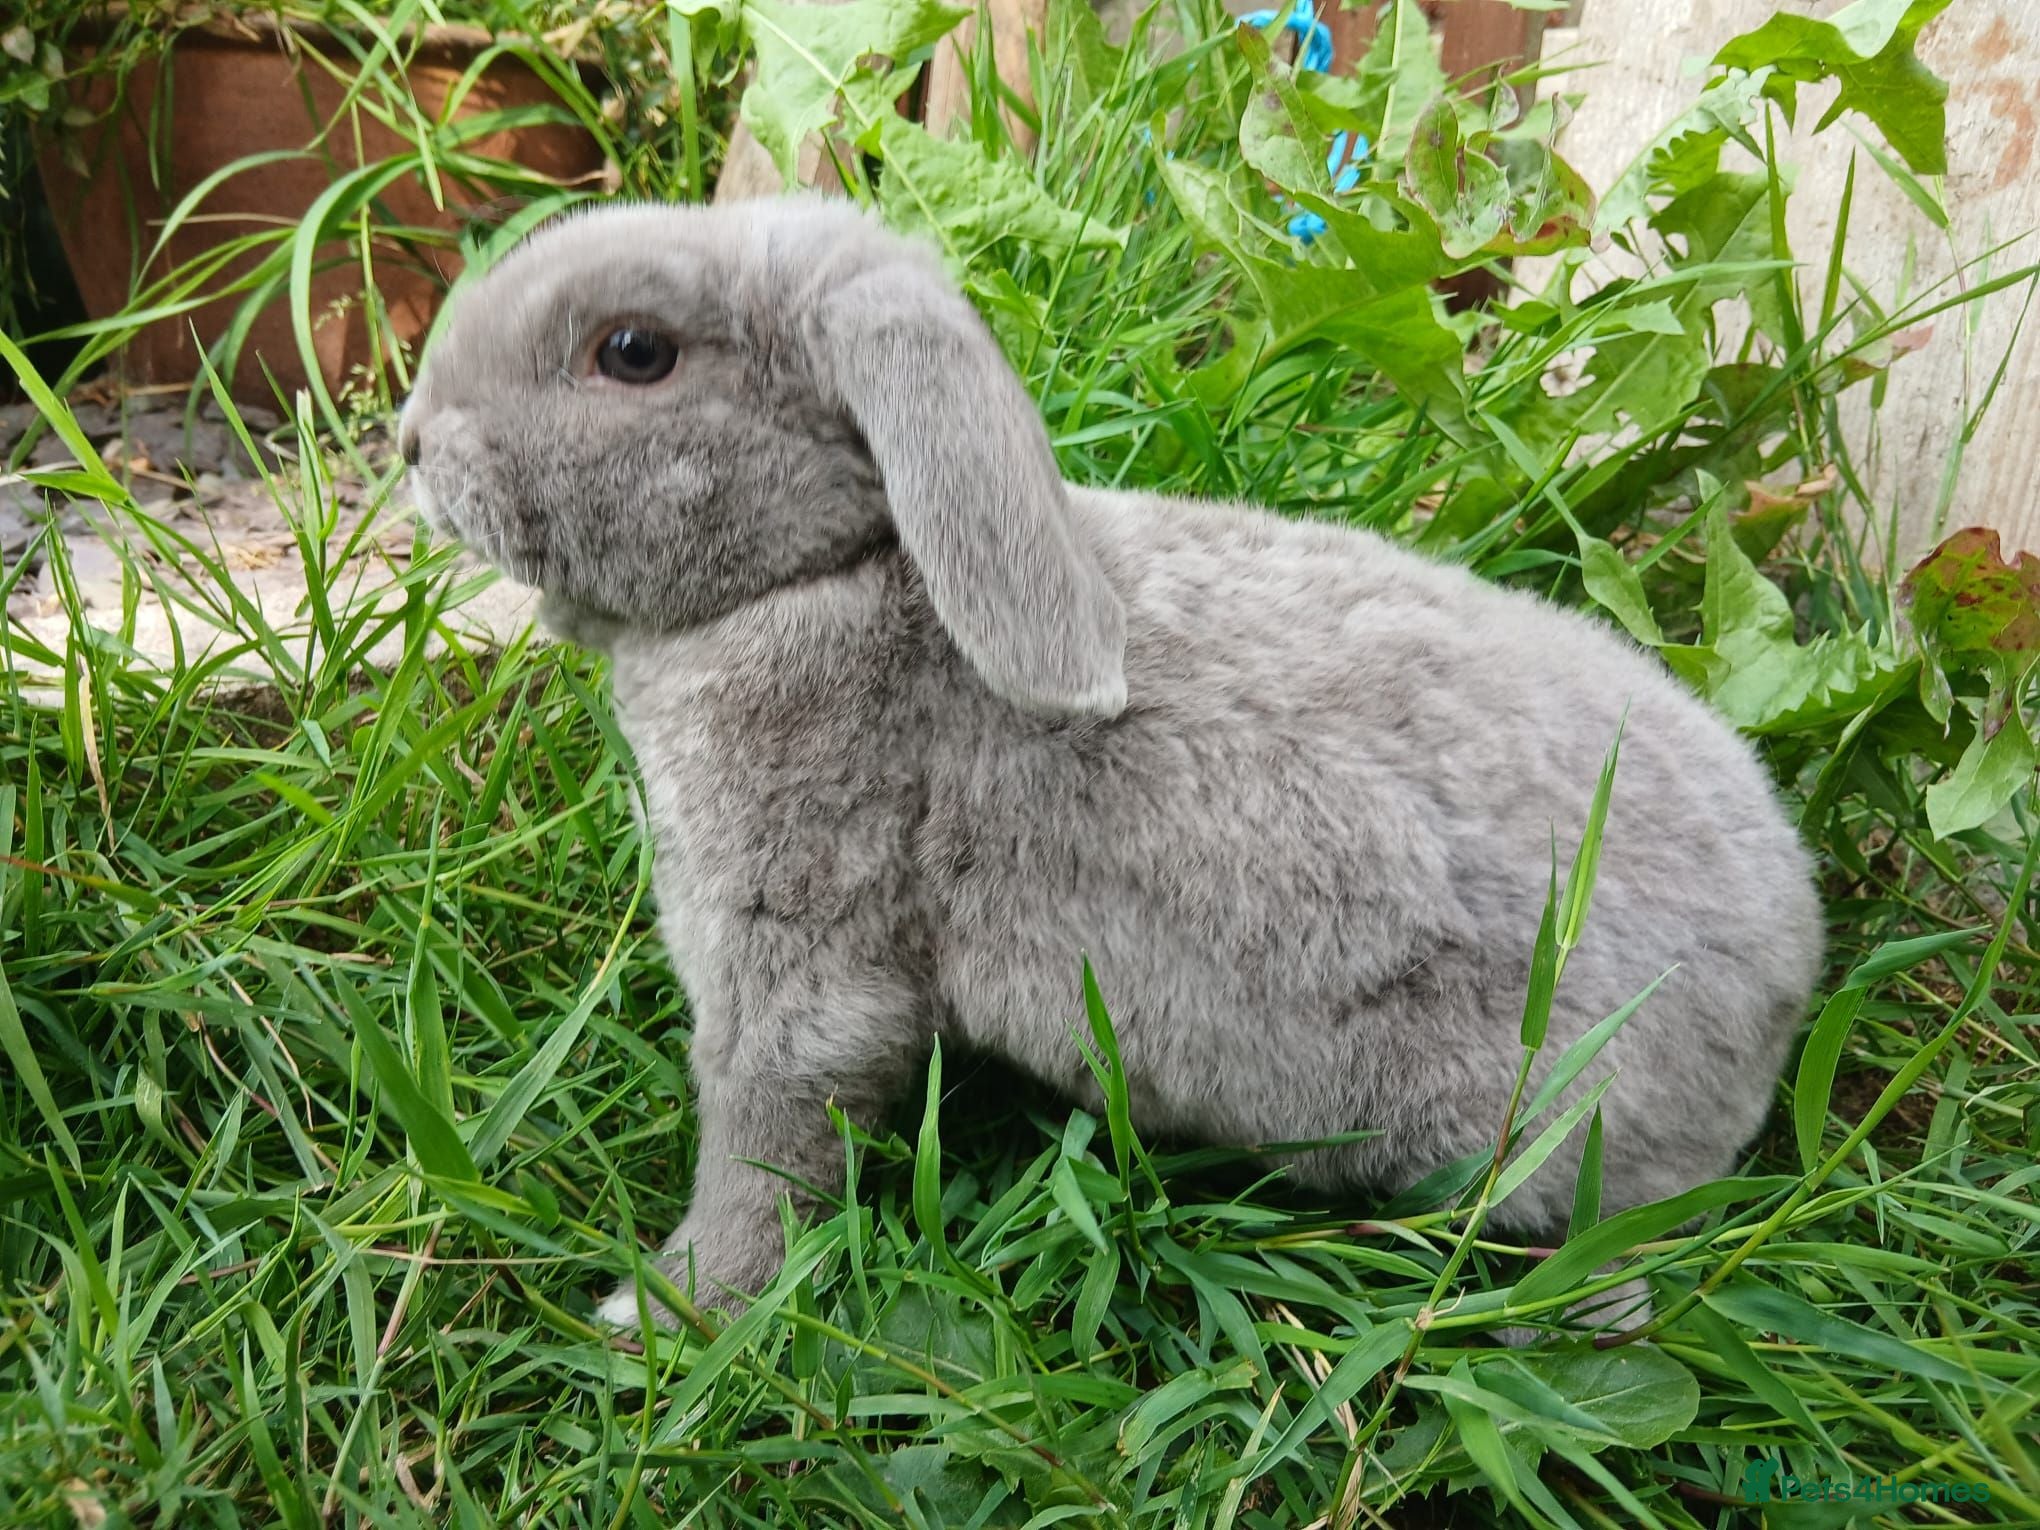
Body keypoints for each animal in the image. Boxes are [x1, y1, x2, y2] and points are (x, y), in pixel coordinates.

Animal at [399, 195, 1824, 1335]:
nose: (413, 440)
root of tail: (1792, 962)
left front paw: (673, 1310)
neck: (837, 572)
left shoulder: (797, 948)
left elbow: (775, 1128)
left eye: (632, 352)